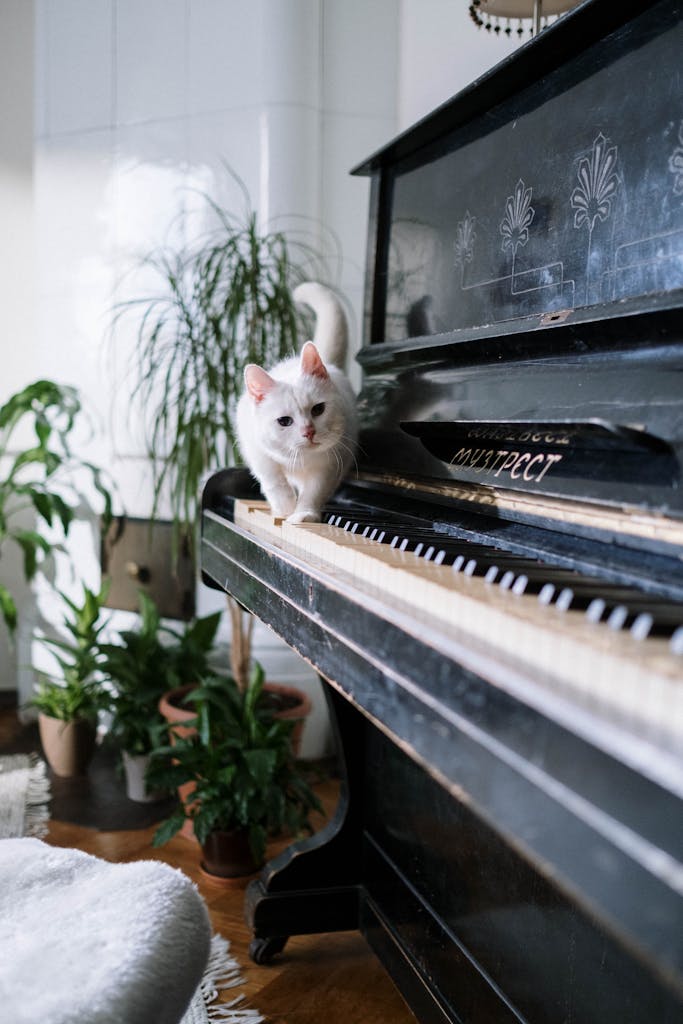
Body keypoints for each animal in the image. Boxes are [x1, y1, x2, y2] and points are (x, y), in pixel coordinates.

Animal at [236, 282, 358, 524]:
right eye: (284, 421)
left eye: (318, 409)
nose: (309, 431)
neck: (302, 459)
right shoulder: (256, 450)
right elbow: (273, 479)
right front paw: (284, 508)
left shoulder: (330, 466)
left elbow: (314, 492)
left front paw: (303, 514)